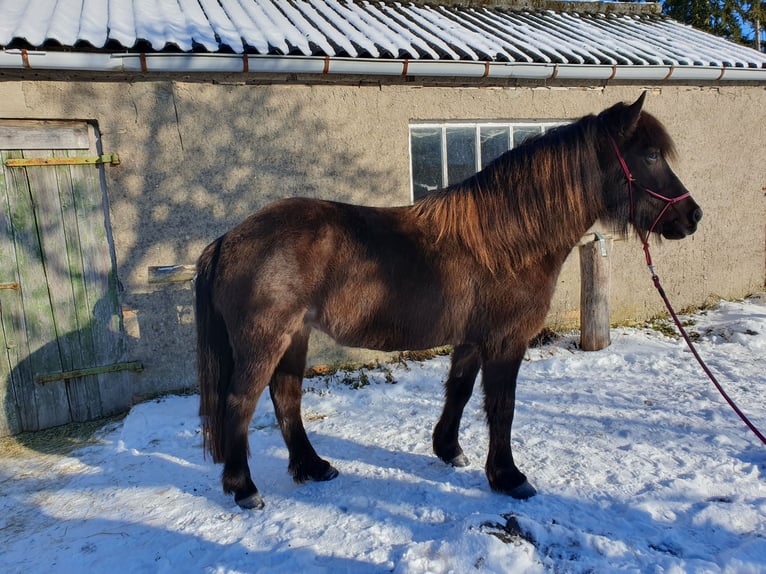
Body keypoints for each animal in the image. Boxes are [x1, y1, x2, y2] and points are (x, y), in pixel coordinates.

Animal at [195, 93, 702, 509]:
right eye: (650, 154)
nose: (692, 215)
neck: (507, 240)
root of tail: (229, 238)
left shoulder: (472, 338)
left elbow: (458, 390)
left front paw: (449, 449)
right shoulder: (505, 340)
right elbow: (502, 406)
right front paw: (508, 476)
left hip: (295, 337)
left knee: (286, 398)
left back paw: (313, 467)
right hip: (265, 341)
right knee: (240, 402)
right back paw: (244, 488)